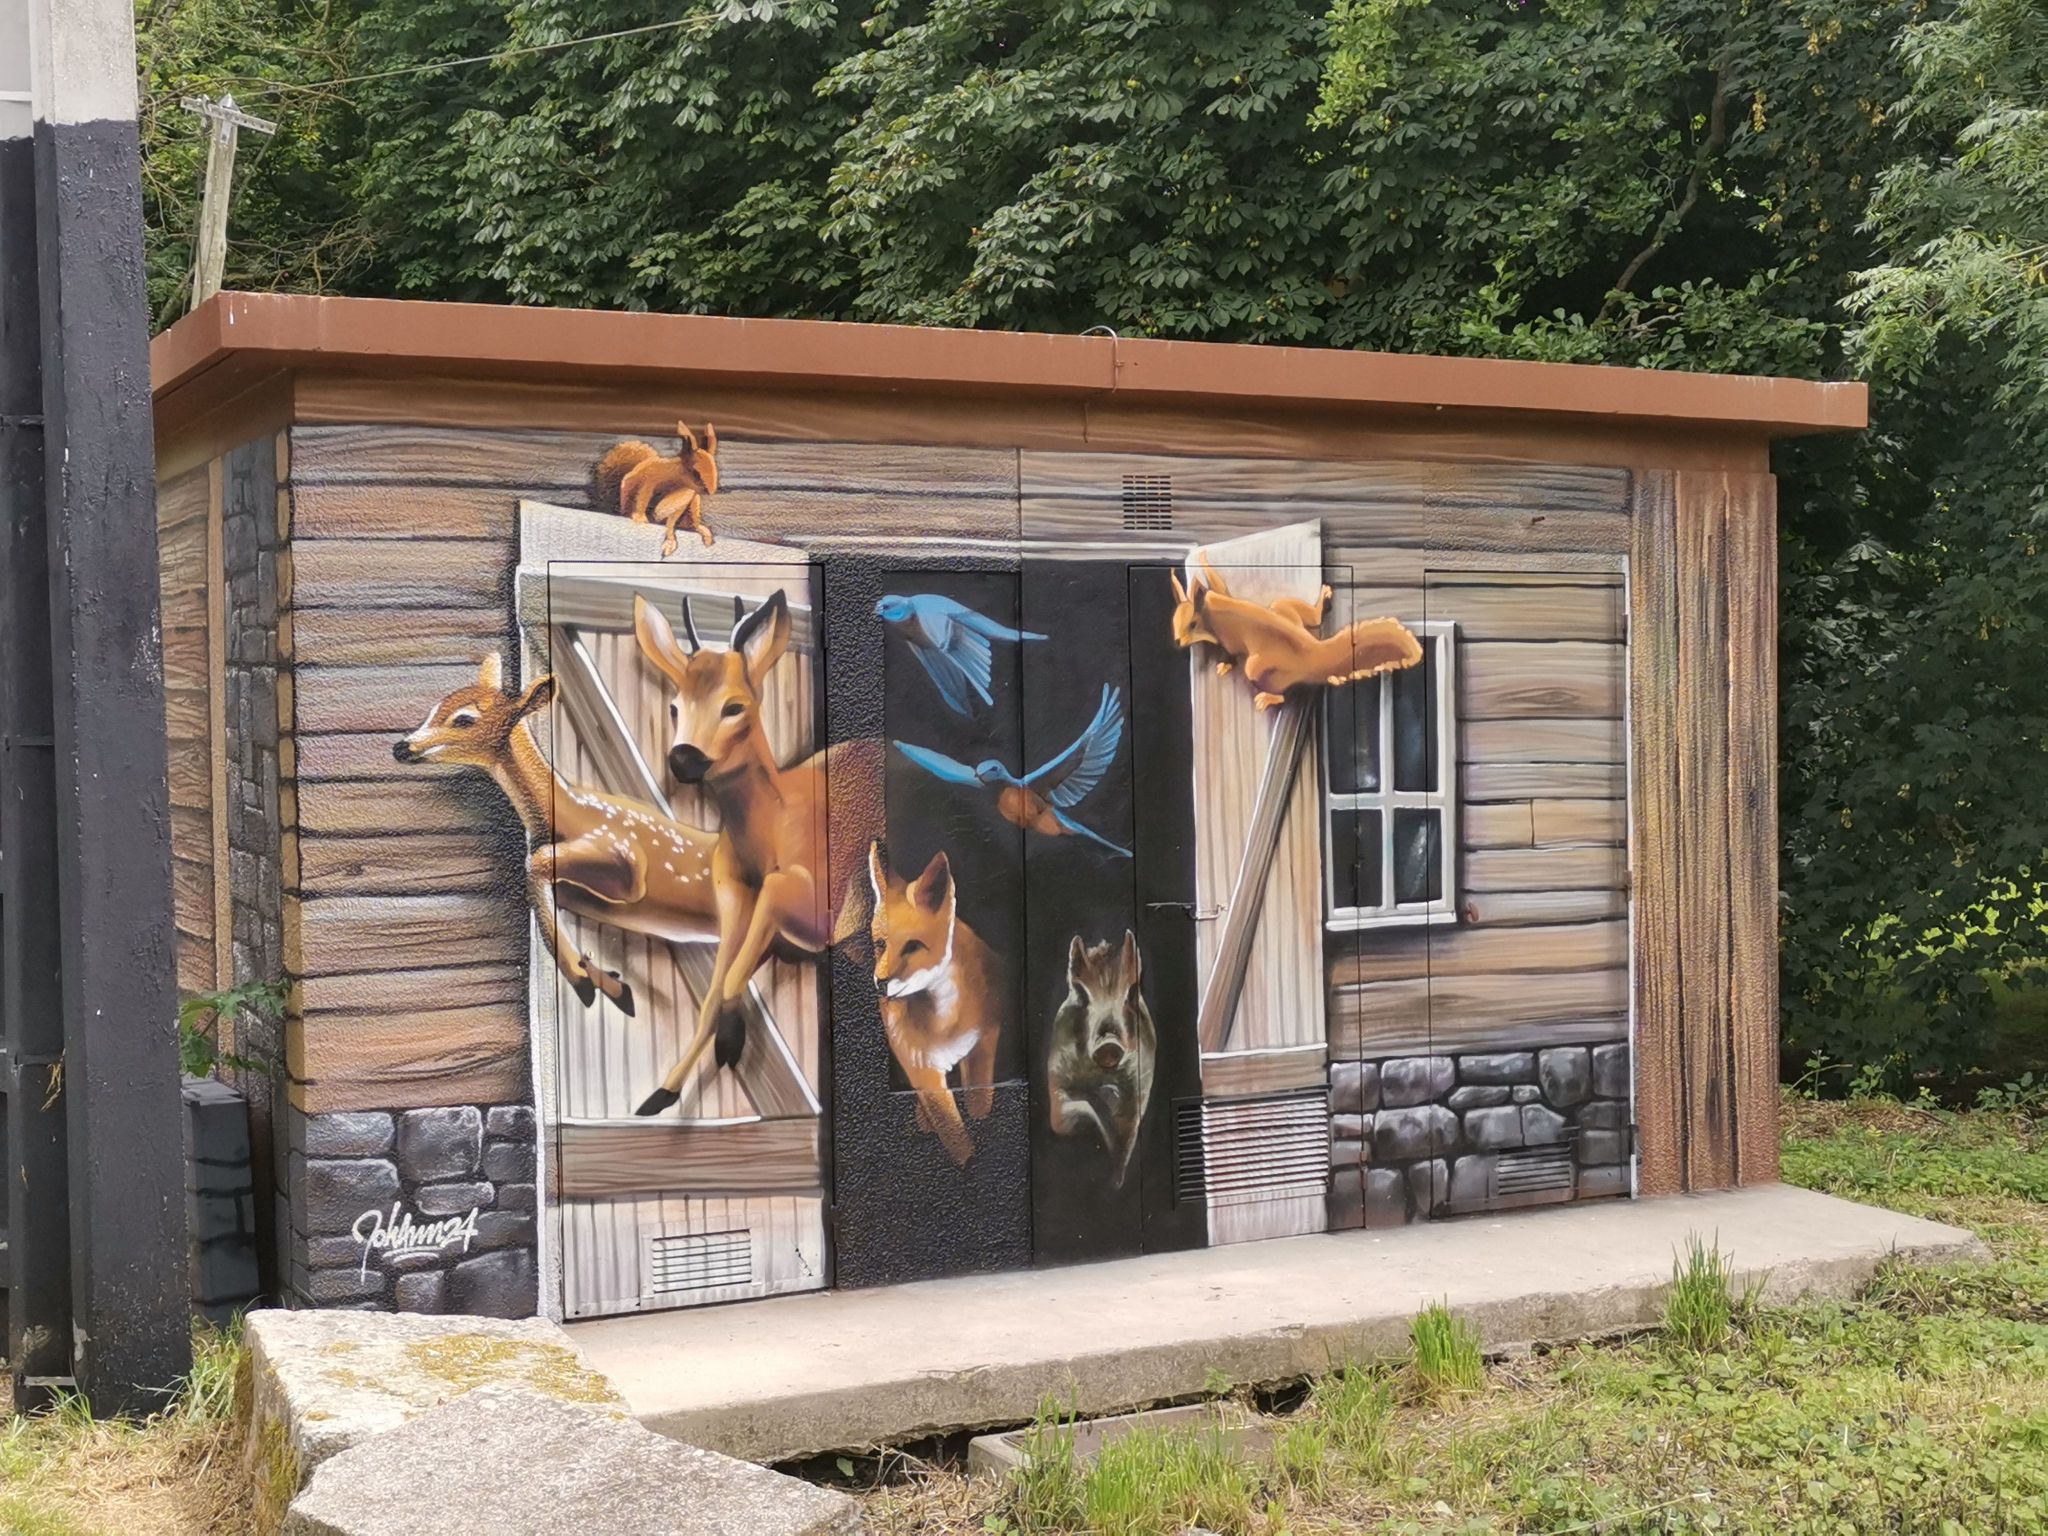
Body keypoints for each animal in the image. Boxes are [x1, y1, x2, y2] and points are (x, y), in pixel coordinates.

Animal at [392, 653, 723, 1019]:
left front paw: (587, 981)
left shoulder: (626, 858)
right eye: (434, 708)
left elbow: (537, 862)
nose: (402, 747)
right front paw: (603, 981)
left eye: (464, 719)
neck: (567, 815)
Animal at [631, 589, 884, 1115]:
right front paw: (662, 1093)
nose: (683, 758)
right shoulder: (735, 903)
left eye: (734, 706)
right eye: (673, 707)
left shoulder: (815, 910)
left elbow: (728, 981)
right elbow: (712, 992)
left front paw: (730, 1044)